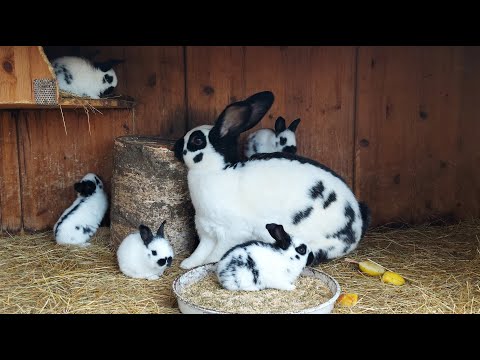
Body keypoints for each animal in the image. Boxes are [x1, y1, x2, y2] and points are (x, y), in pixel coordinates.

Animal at [173, 91, 372, 268]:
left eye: (197, 140)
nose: (175, 146)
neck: (213, 171)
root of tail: (357, 224)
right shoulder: (206, 230)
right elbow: (200, 250)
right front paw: (187, 264)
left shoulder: (232, 233)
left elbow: (216, 253)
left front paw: (208, 263)